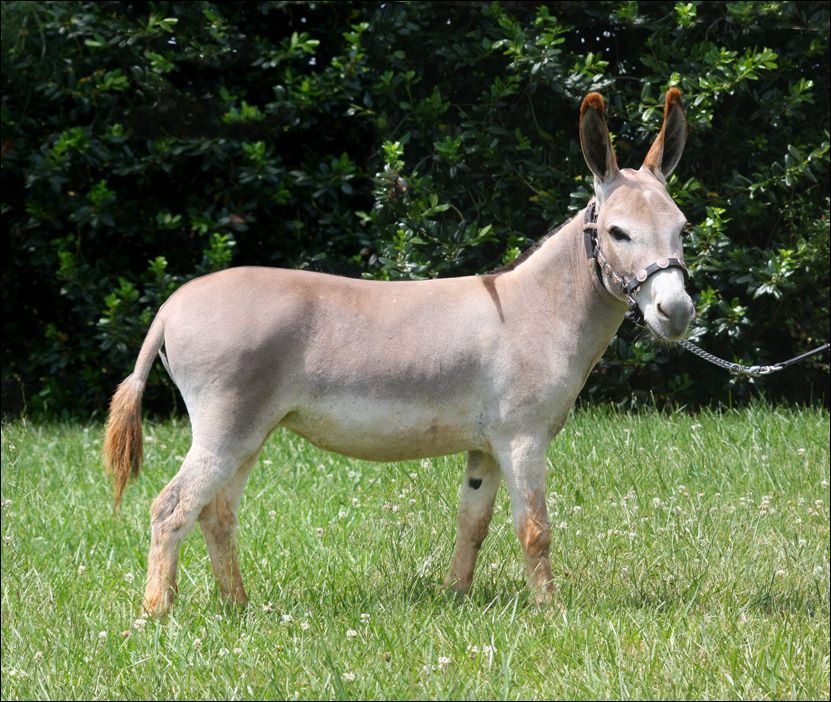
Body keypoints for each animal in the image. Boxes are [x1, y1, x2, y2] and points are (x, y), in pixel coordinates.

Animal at [104, 88, 694, 617]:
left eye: (683, 229)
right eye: (618, 233)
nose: (678, 311)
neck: (538, 309)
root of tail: (172, 305)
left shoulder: (486, 445)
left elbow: (472, 522)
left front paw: (456, 597)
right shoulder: (523, 438)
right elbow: (534, 529)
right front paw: (549, 612)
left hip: (248, 432)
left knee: (215, 513)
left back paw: (238, 606)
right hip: (226, 428)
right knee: (171, 507)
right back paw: (156, 614)